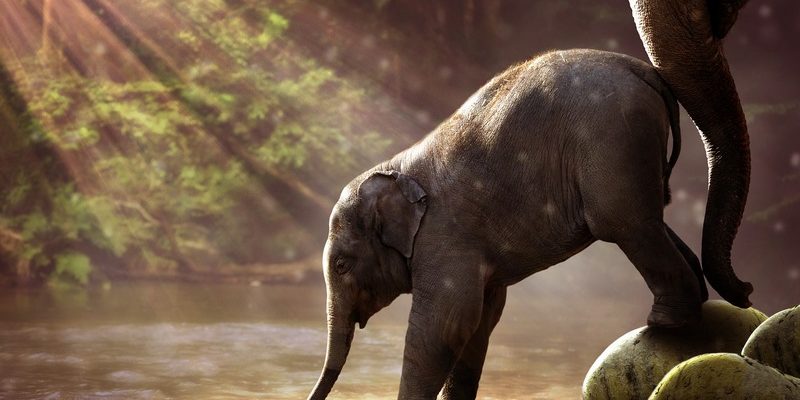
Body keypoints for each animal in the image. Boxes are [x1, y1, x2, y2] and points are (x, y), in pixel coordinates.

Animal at [308, 49, 718, 399]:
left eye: (341, 265)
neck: (395, 168)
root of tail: (642, 69)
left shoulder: (444, 238)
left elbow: (444, 323)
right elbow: (480, 321)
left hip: (613, 141)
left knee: (626, 225)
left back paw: (666, 323)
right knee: (653, 220)